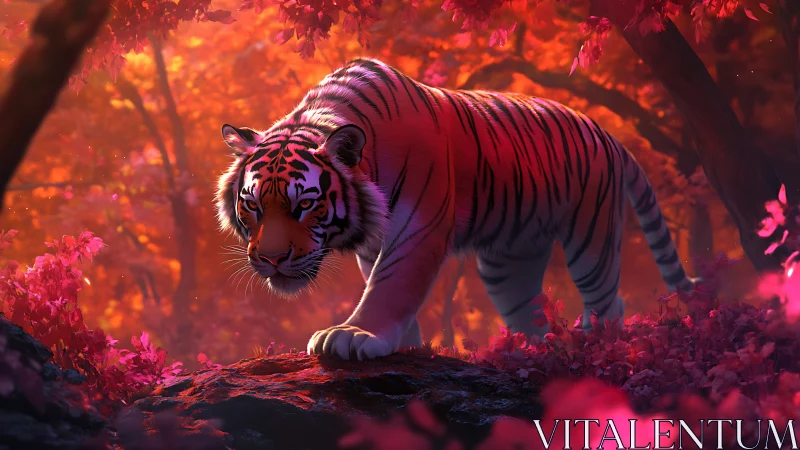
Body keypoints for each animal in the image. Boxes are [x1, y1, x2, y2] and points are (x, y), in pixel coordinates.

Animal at [215, 57, 697, 361]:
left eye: (305, 205)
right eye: (253, 205)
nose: (271, 260)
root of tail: (605, 132)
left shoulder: (418, 226)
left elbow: (392, 284)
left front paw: (354, 335)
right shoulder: (374, 244)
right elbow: (380, 283)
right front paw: (402, 345)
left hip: (590, 237)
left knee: (608, 300)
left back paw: (596, 346)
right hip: (509, 259)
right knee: (529, 307)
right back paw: (537, 350)